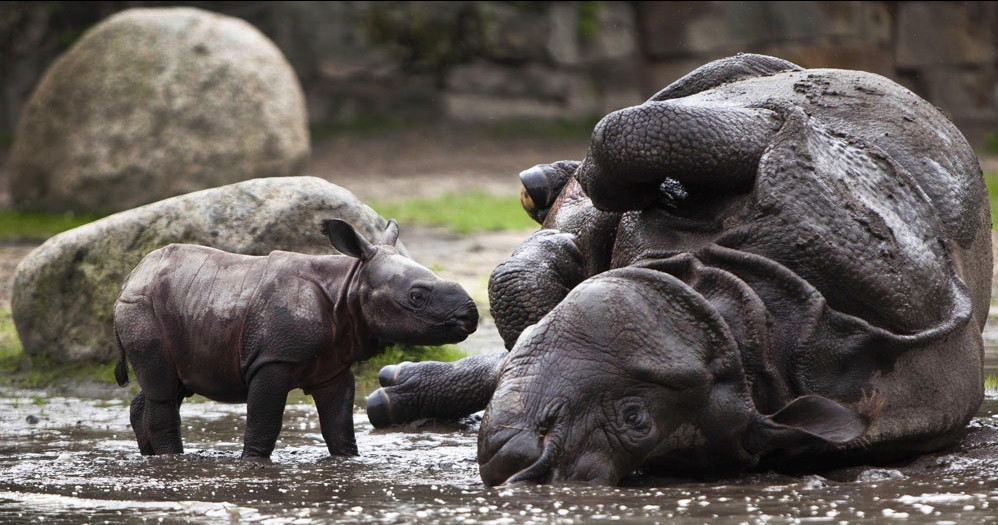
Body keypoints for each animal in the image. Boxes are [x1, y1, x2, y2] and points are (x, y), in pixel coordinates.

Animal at [113, 219, 480, 460]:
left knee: (168, 387)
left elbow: (339, 426)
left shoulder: (334, 366)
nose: (470, 315)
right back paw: (171, 460)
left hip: (182, 301)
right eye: (416, 296)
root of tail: (131, 276)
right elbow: (264, 424)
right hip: (142, 307)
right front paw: (252, 464)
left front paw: (348, 461)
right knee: (163, 390)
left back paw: (151, 457)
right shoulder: (273, 360)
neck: (350, 284)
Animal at [368, 53, 992, 484]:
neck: (756, 315)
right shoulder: (808, 179)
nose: (532, 467)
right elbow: (631, 141)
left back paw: (396, 393)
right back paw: (545, 185)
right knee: (698, 91)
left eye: (636, 421)